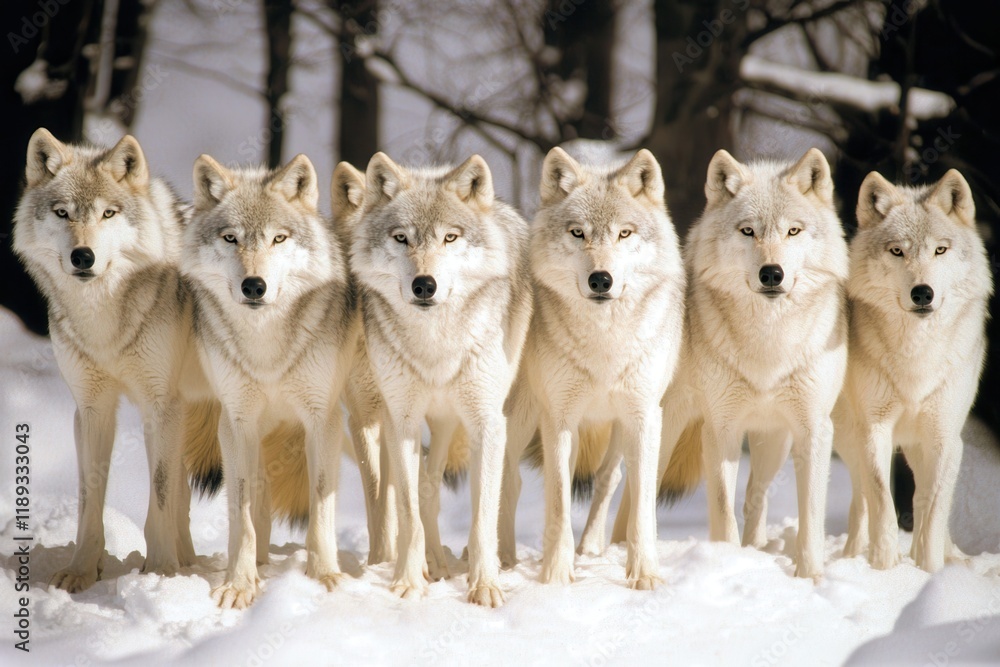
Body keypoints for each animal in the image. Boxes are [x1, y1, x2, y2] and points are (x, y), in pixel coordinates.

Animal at [12, 129, 217, 592]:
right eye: (63, 213)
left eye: (108, 213)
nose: (83, 257)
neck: (103, 321)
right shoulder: (92, 407)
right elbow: (90, 498)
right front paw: (82, 572)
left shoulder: (159, 406)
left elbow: (159, 495)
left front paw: (159, 572)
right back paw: (191, 563)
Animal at [181, 154, 360, 609]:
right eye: (231, 238)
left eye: (279, 239)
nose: (254, 286)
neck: (268, 352)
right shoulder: (237, 423)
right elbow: (242, 514)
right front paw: (239, 585)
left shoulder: (322, 420)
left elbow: (321, 507)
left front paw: (324, 576)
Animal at [344, 152, 531, 607]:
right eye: (401, 239)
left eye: (449, 238)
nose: (423, 285)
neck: (436, 347)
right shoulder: (402, 421)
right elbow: (410, 511)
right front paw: (409, 583)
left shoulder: (486, 422)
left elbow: (482, 517)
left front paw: (485, 586)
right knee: (423, 488)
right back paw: (432, 565)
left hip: (479, 421)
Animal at [497, 147, 690, 589]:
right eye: (578, 233)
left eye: (624, 234)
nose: (601, 279)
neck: (605, 344)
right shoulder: (559, 416)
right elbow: (557, 500)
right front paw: (555, 574)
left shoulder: (643, 414)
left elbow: (641, 505)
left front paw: (644, 574)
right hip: (522, 417)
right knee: (511, 478)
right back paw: (502, 559)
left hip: (613, 426)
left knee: (607, 478)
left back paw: (590, 547)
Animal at [835, 169, 993, 572]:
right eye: (897, 251)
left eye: (940, 250)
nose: (923, 293)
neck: (915, 358)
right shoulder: (874, 430)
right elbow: (881, 501)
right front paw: (883, 565)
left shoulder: (943, 437)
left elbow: (932, 509)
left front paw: (929, 570)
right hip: (849, 438)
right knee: (860, 500)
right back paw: (852, 557)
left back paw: (954, 559)